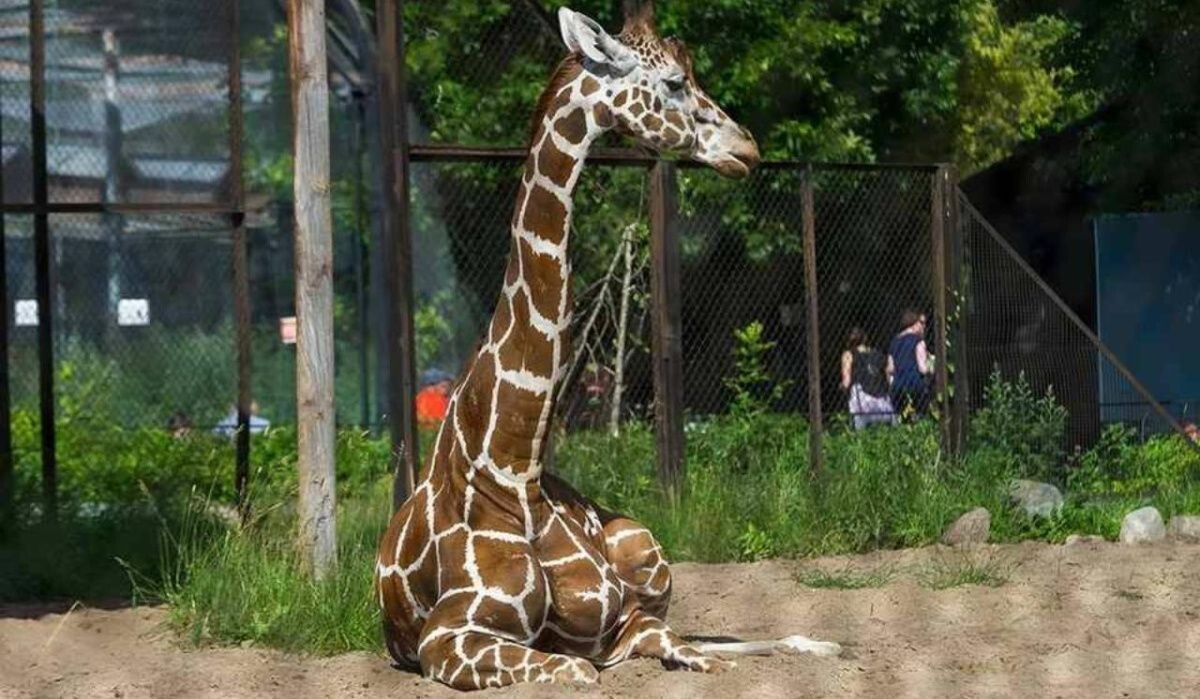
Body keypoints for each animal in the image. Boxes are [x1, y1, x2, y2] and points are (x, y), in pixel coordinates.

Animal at [375, 2, 840, 689]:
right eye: (675, 82)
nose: (747, 149)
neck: (516, 463)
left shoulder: (620, 621)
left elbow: (692, 649)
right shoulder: (448, 638)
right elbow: (583, 670)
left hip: (645, 547)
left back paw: (820, 643)